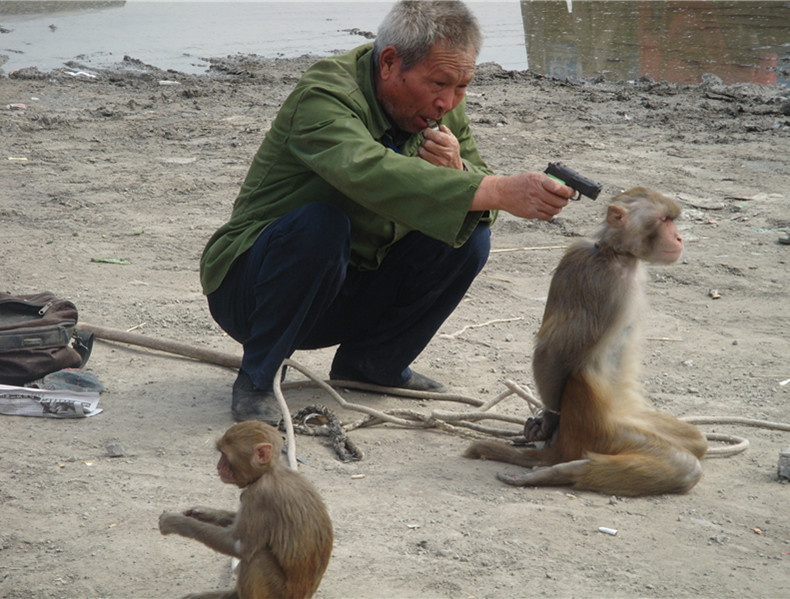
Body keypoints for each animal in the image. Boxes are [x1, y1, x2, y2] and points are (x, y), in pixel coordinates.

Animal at [161, 422, 334, 599]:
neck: (269, 472)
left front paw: (175, 522)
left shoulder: (260, 496)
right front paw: (202, 512)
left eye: (225, 455)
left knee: (257, 557)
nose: (218, 466)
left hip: (279, 593)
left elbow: (239, 546)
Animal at [468, 188, 708, 496]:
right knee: (683, 464)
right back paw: (564, 470)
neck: (616, 255)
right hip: (598, 430)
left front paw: (544, 424)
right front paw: (550, 418)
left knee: (696, 439)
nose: (678, 238)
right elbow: (552, 350)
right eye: (664, 220)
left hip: (630, 419)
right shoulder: (595, 278)